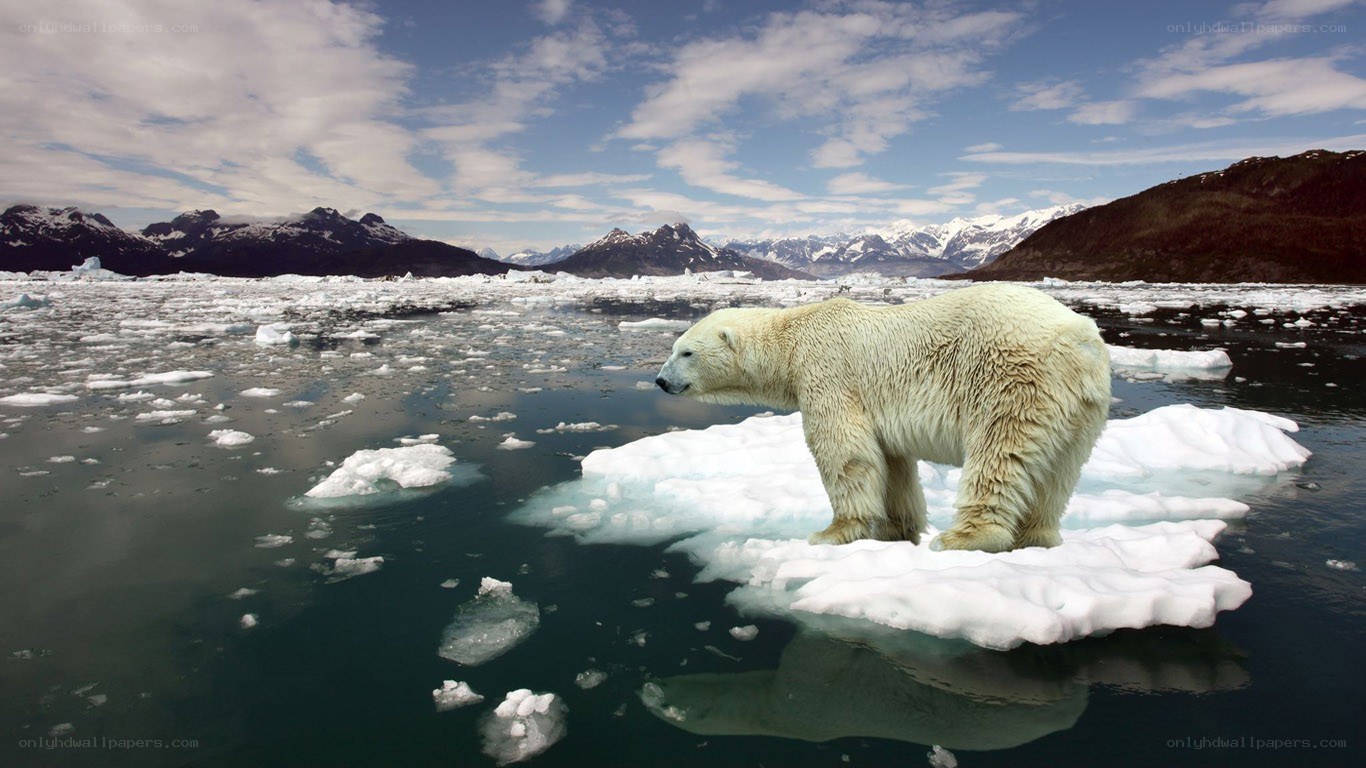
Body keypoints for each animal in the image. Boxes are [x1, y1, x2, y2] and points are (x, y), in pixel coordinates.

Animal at [654, 283, 1111, 552]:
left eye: (686, 352)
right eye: (674, 347)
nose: (660, 381)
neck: (792, 339)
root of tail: (1080, 339)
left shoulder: (827, 372)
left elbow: (844, 451)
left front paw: (833, 532)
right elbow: (892, 463)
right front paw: (897, 528)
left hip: (1012, 378)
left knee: (999, 453)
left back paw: (964, 537)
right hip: (1081, 408)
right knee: (1058, 472)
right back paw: (1037, 537)